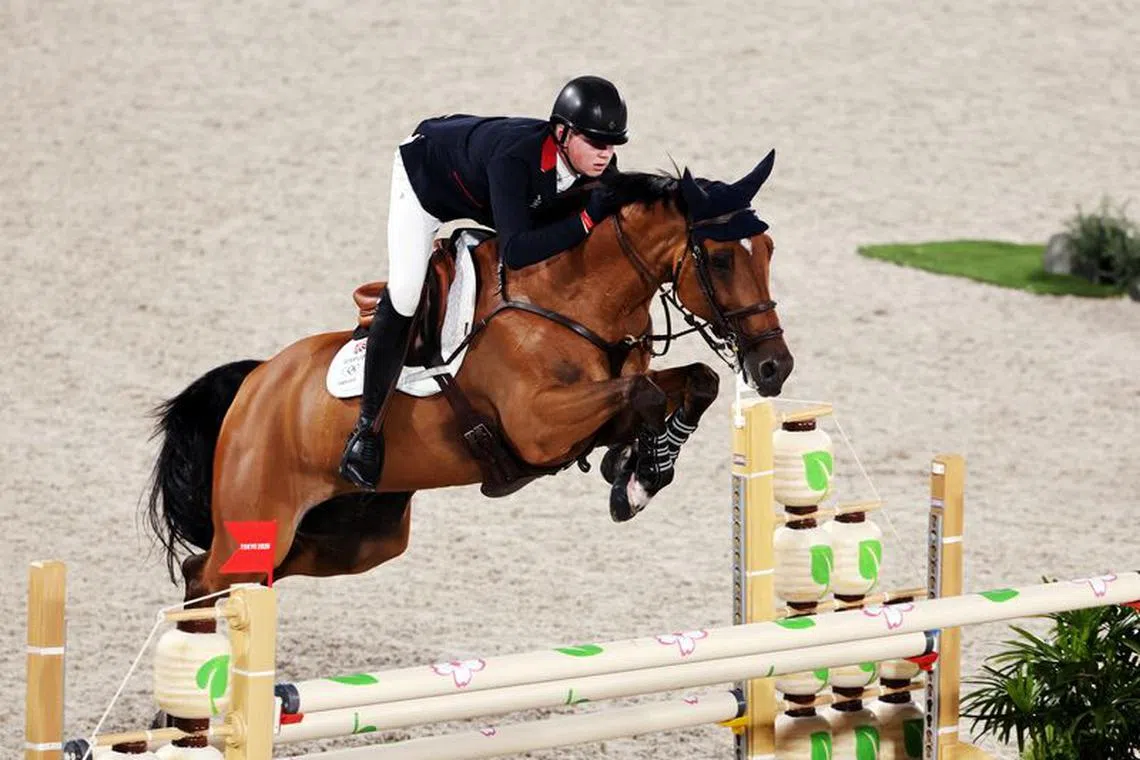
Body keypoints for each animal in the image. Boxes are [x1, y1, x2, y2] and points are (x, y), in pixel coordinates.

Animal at [144, 150, 794, 611]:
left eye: (767, 248)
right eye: (720, 259)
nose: (775, 367)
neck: (573, 298)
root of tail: (254, 386)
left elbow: (696, 382)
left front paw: (637, 468)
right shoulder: (539, 426)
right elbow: (645, 394)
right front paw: (634, 476)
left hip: (357, 536)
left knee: (212, 574)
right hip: (263, 521)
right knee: (209, 576)